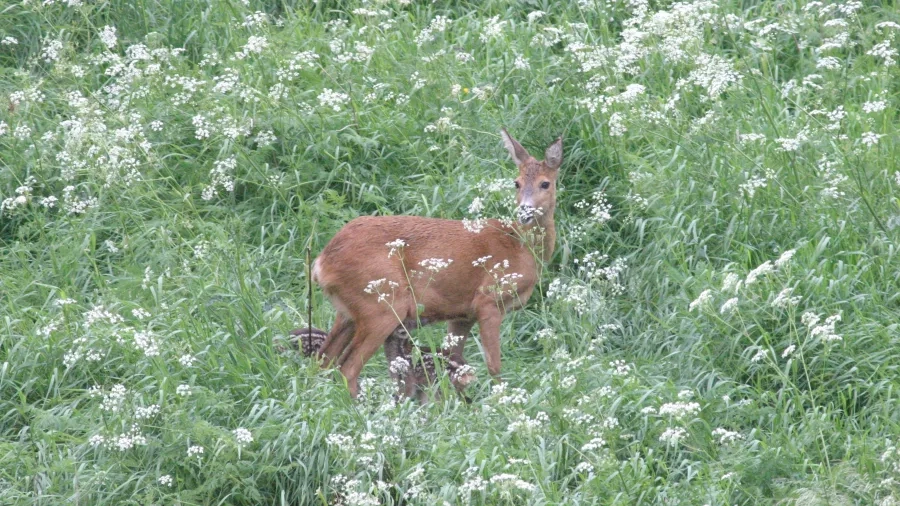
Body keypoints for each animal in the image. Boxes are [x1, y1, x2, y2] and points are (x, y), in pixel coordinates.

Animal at [312, 128, 560, 398]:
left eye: (545, 183)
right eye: (516, 183)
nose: (525, 212)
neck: (520, 245)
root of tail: (321, 263)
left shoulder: (462, 314)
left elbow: (453, 358)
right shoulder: (488, 301)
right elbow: (493, 364)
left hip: (348, 311)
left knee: (322, 361)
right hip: (381, 305)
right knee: (347, 368)